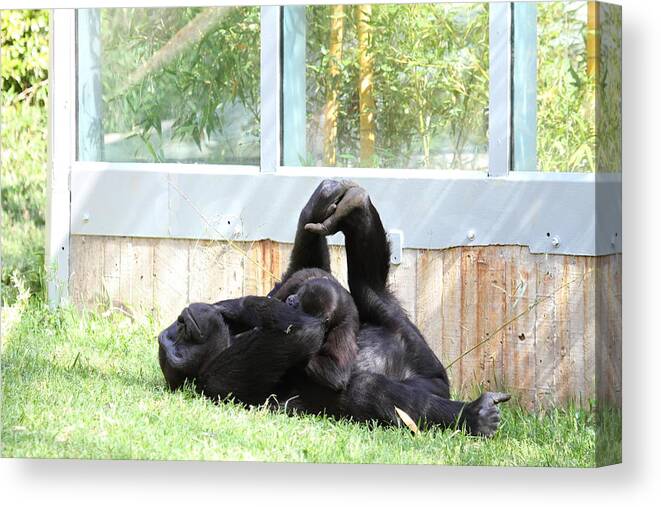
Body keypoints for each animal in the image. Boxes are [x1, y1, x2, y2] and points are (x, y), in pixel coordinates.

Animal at [157, 180, 508, 436]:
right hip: (425, 365)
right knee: (369, 389)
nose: (180, 325)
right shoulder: (220, 378)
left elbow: (300, 273)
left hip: (404, 331)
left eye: (176, 333)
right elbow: (303, 333)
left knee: (368, 289)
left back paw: (355, 206)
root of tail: (438, 380)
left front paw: (316, 208)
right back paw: (473, 416)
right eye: (177, 347)